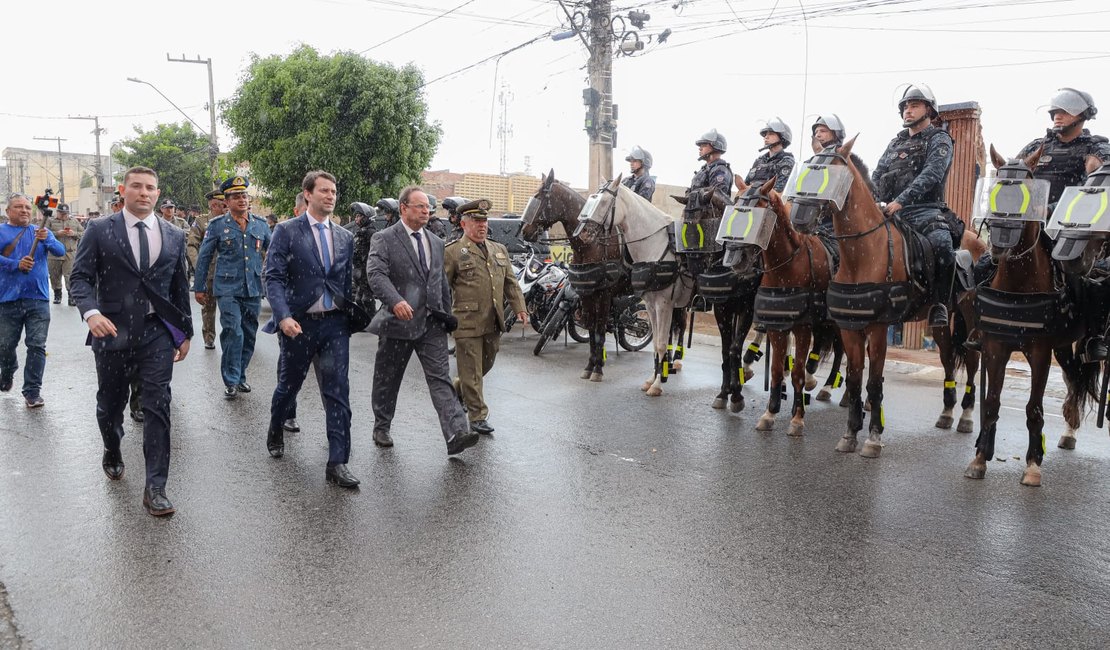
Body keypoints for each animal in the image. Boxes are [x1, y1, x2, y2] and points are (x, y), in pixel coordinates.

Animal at [519, 170, 626, 379]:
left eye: (539, 197)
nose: (525, 231)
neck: (592, 244)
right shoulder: (586, 294)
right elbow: (591, 329)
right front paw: (591, 366)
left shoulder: (604, 294)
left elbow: (600, 328)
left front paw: (598, 369)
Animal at [572, 174, 692, 394]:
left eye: (603, 202)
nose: (583, 234)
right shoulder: (592, 295)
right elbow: (592, 330)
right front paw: (653, 379)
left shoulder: (660, 303)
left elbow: (658, 342)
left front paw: (656, 384)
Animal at [723, 174, 843, 432]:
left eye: (757, 213)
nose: (736, 258)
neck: (788, 265)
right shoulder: (777, 326)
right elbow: (777, 369)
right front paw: (771, 412)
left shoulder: (802, 328)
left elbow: (797, 371)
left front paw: (797, 417)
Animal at [963, 144, 1101, 483]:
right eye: (993, 191)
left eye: (1028, 194)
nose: (999, 245)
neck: (1017, 287)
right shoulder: (996, 347)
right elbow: (991, 402)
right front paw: (980, 458)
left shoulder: (1039, 352)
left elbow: (1034, 409)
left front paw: (1033, 464)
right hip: (1063, 347)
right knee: (1073, 379)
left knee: (1076, 382)